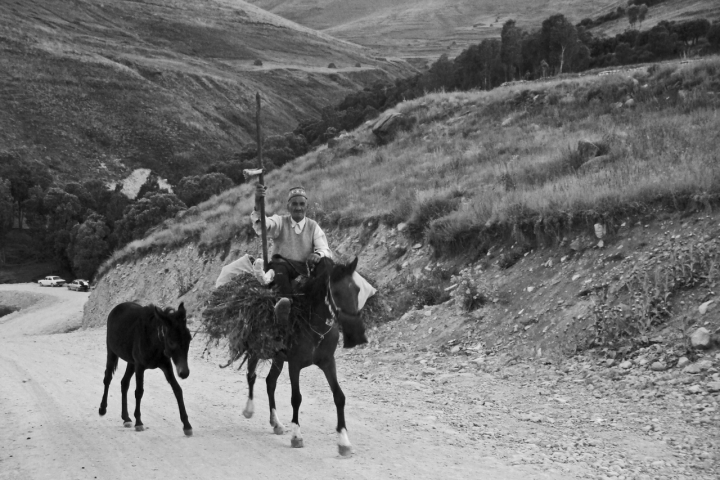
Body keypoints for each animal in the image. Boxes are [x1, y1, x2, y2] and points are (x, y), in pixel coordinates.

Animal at [100, 302, 194, 436]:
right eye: (171, 341)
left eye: (189, 338)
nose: (184, 373)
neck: (154, 341)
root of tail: (118, 307)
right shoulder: (140, 366)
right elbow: (139, 392)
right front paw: (139, 422)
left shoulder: (166, 365)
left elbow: (177, 390)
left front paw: (187, 425)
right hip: (112, 352)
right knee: (107, 378)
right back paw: (102, 409)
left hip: (131, 362)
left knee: (124, 383)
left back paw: (126, 418)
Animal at [242, 256, 368, 456]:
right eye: (336, 292)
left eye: (357, 290)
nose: (356, 331)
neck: (315, 325)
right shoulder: (295, 364)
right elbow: (296, 398)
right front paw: (296, 436)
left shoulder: (328, 362)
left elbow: (339, 397)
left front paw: (343, 441)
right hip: (256, 349)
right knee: (251, 376)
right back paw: (249, 409)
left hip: (278, 358)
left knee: (270, 382)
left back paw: (276, 422)